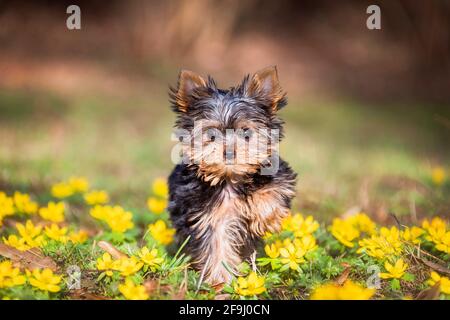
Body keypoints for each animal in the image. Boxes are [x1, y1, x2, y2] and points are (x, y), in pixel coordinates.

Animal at [167, 66, 298, 284]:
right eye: (211, 135)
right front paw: (221, 279)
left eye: (246, 132)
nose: (229, 152)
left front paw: (266, 219)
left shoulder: (281, 176)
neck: (230, 178)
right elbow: (216, 243)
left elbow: (272, 190)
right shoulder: (207, 215)